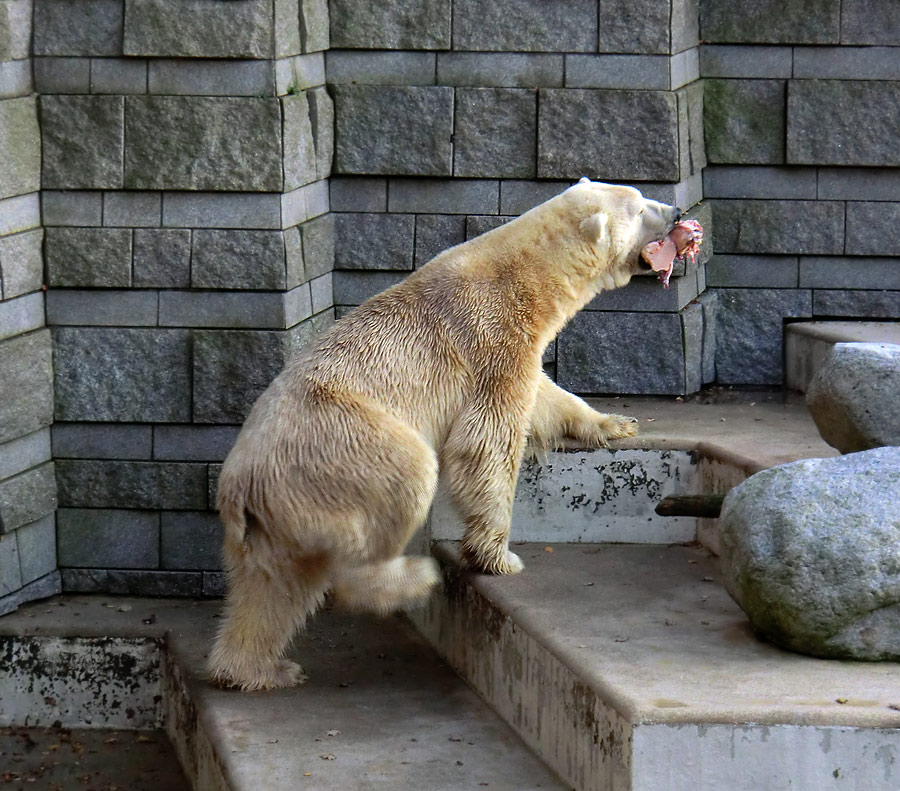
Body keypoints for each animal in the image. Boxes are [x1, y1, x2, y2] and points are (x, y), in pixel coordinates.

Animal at [206, 176, 684, 688]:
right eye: (640, 209)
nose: (677, 212)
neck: (526, 279)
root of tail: (239, 483)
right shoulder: (493, 340)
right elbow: (487, 441)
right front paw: (497, 556)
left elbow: (546, 395)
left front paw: (615, 423)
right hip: (342, 448)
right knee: (401, 489)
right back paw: (408, 578)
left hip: (278, 515)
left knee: (275, 585)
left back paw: (257, 669)